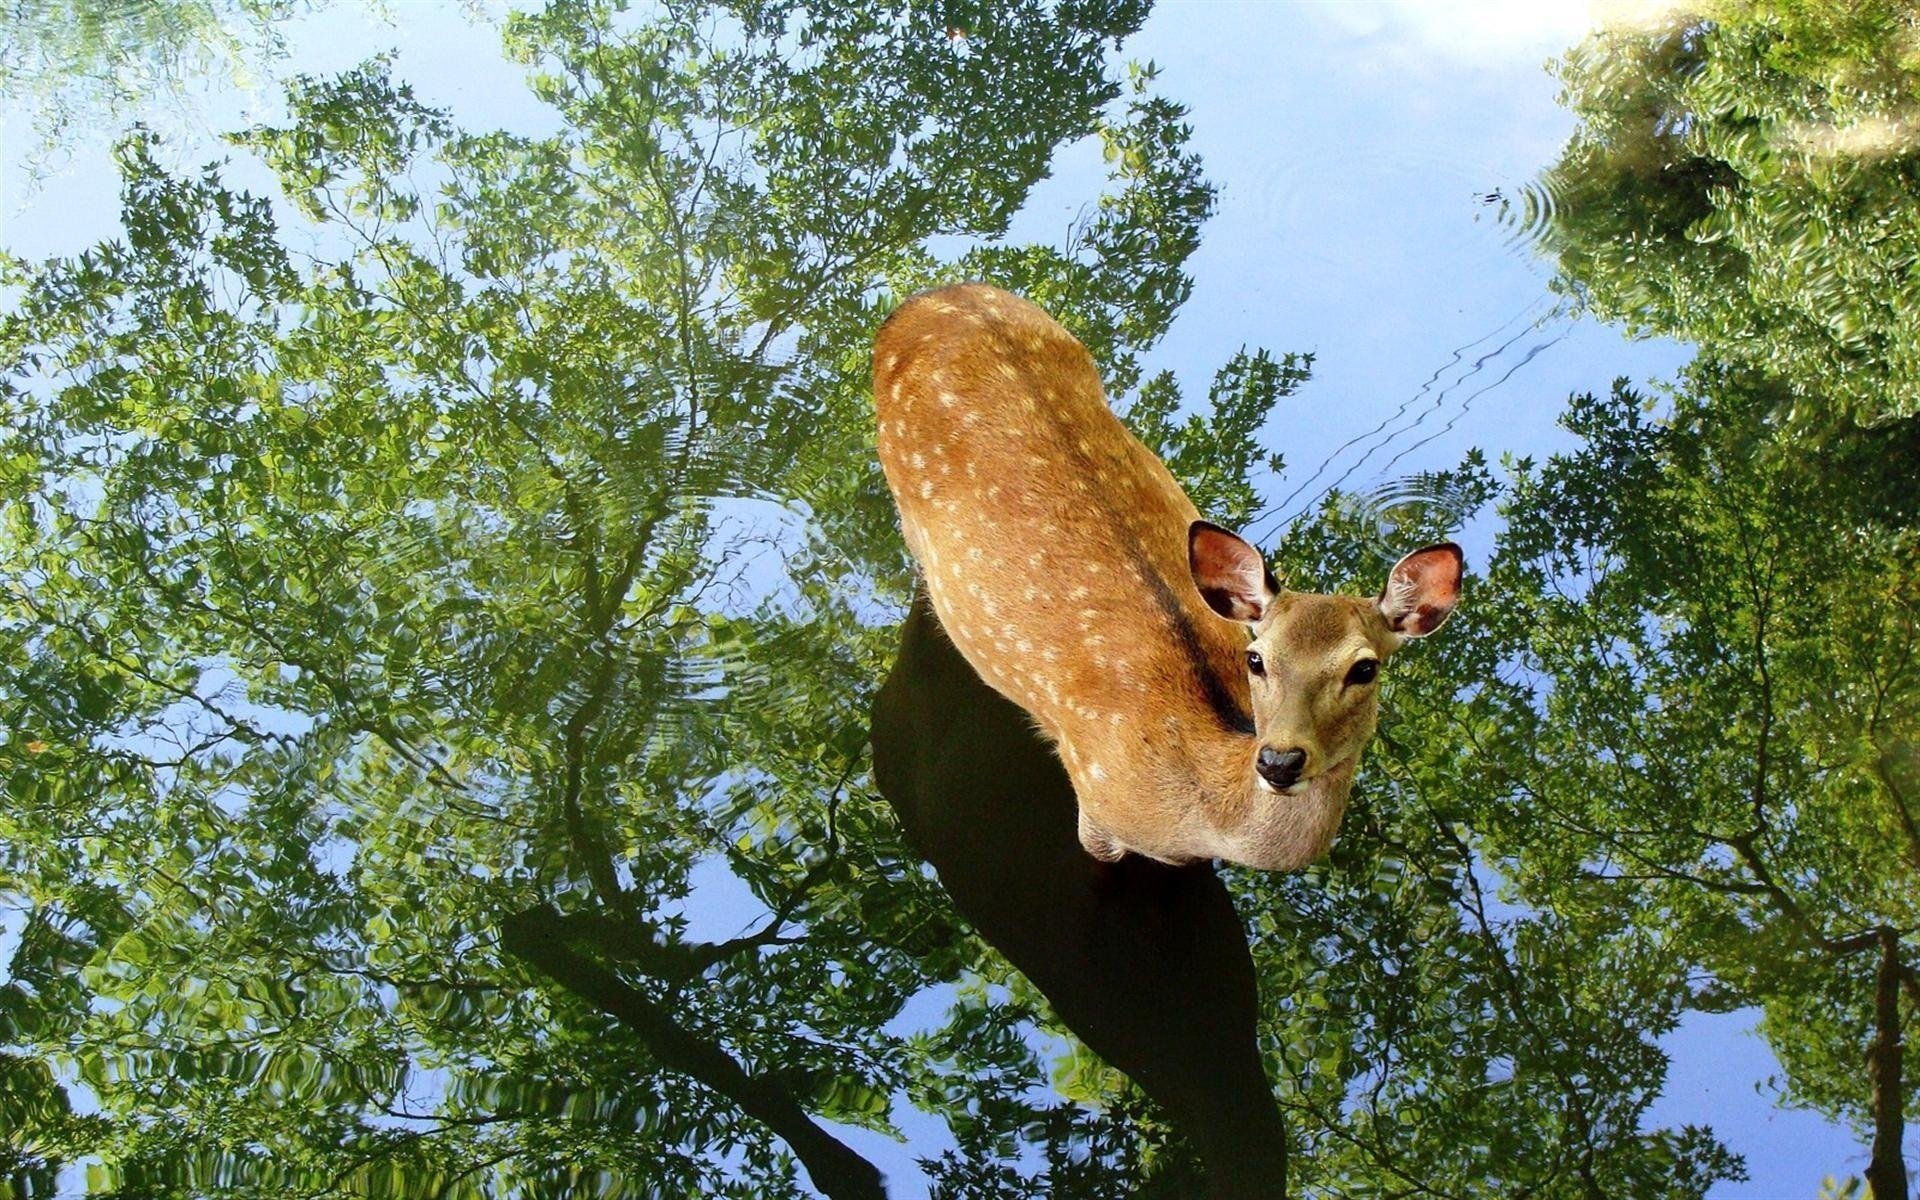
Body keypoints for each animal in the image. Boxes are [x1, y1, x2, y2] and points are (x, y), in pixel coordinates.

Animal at [873, 283, 1462, 870]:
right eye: (1257, 658)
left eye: (1364, 668)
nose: (1279, 760)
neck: (1199, 816)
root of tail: (928, 297)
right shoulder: (1097, 808)